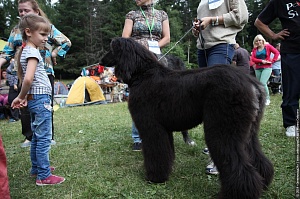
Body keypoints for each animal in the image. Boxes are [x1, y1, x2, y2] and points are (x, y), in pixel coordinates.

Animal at [101, 37, 274, 199]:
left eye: (111, 48)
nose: (101, 61)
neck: (142, 74)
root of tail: (252, 83)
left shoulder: (151, 126)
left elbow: (156, 153)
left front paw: (155, 177)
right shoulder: (164, 129)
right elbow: (166, 153)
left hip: (223, 128)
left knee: (238, 165)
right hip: (248, 130)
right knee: (256, 156)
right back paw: (264, 182)